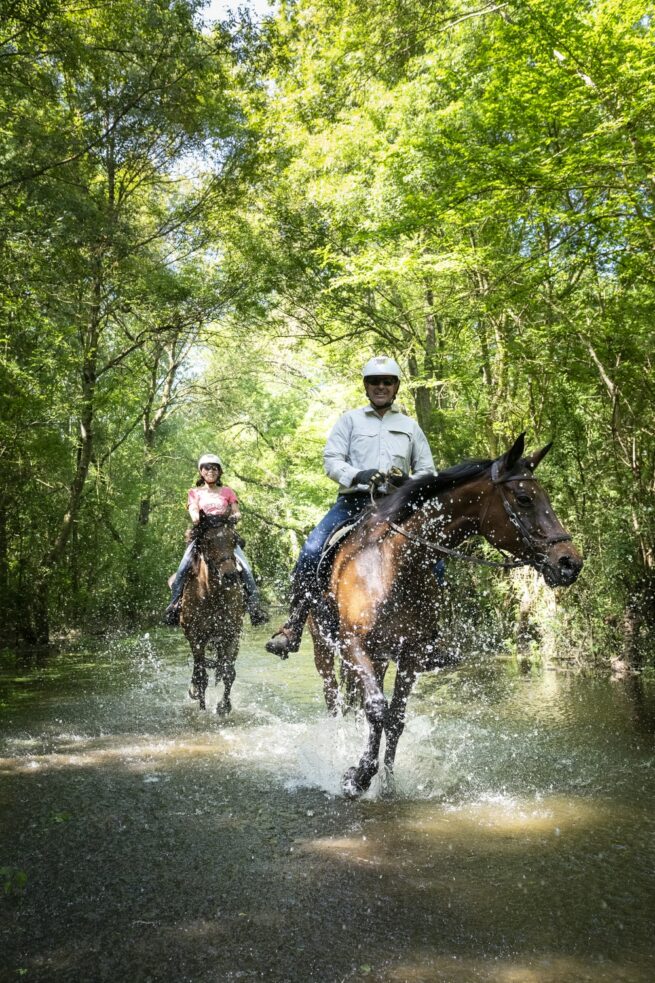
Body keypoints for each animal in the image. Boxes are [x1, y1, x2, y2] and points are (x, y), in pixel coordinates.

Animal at [180, 513, 245, 713]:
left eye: (234, 540)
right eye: (208, 541)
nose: (230, 576)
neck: (212, 594)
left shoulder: (232, 635)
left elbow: (228, 672)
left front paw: (224, 706)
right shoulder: (196, 637)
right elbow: (202, 676)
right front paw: (202, 708)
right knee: (198, 668)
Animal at [308, 433, 583, 797]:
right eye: (524, 498)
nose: (570, 562)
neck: (395, 564)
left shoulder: (410, 654)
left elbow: (395, 718)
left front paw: (388, 781)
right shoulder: (354, 644)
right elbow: (377, 709)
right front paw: (358, 776)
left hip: (379, 658)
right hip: (324, 648)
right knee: (336, 704)